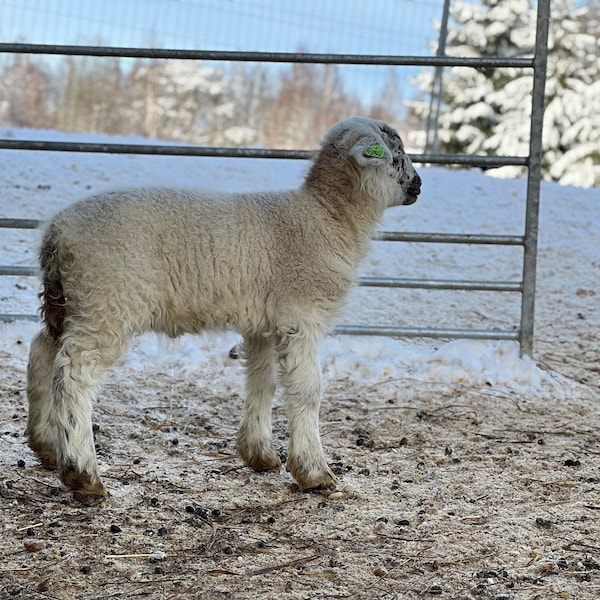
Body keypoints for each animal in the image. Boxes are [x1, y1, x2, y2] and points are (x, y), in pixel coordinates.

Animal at [25, 117, 422, 502]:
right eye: (395, 157)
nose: (419, 184)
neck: (328, 215)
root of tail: (57, 232)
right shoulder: (300, 317)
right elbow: (307, 391)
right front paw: (314, 472)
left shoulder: (265, 324)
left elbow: (262, 381)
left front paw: (259, 453)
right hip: (107, 300)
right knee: (74, 372)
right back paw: (82, 473)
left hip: (69, 300)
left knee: (43, 350)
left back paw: (46, 444)